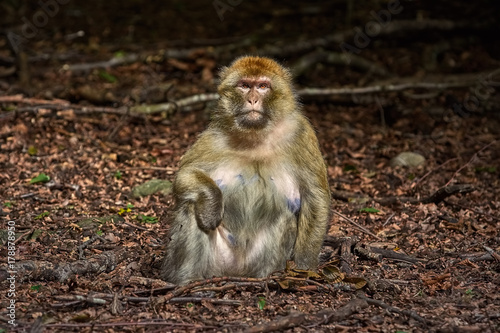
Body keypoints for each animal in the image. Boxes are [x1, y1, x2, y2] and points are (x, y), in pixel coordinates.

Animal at [162, 55, 330, 284]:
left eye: (262, 86)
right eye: (244, 85)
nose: (252, 99)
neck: (255, 135)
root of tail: (236, 271)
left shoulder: (301, 133)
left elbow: (315, 195)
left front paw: (304, 266)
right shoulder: (215, 135)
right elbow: (185, 174)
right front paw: (211, 206)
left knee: (286, 219)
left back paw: (266, 278)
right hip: (216, 262)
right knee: (191, 205)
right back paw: (186, 280)